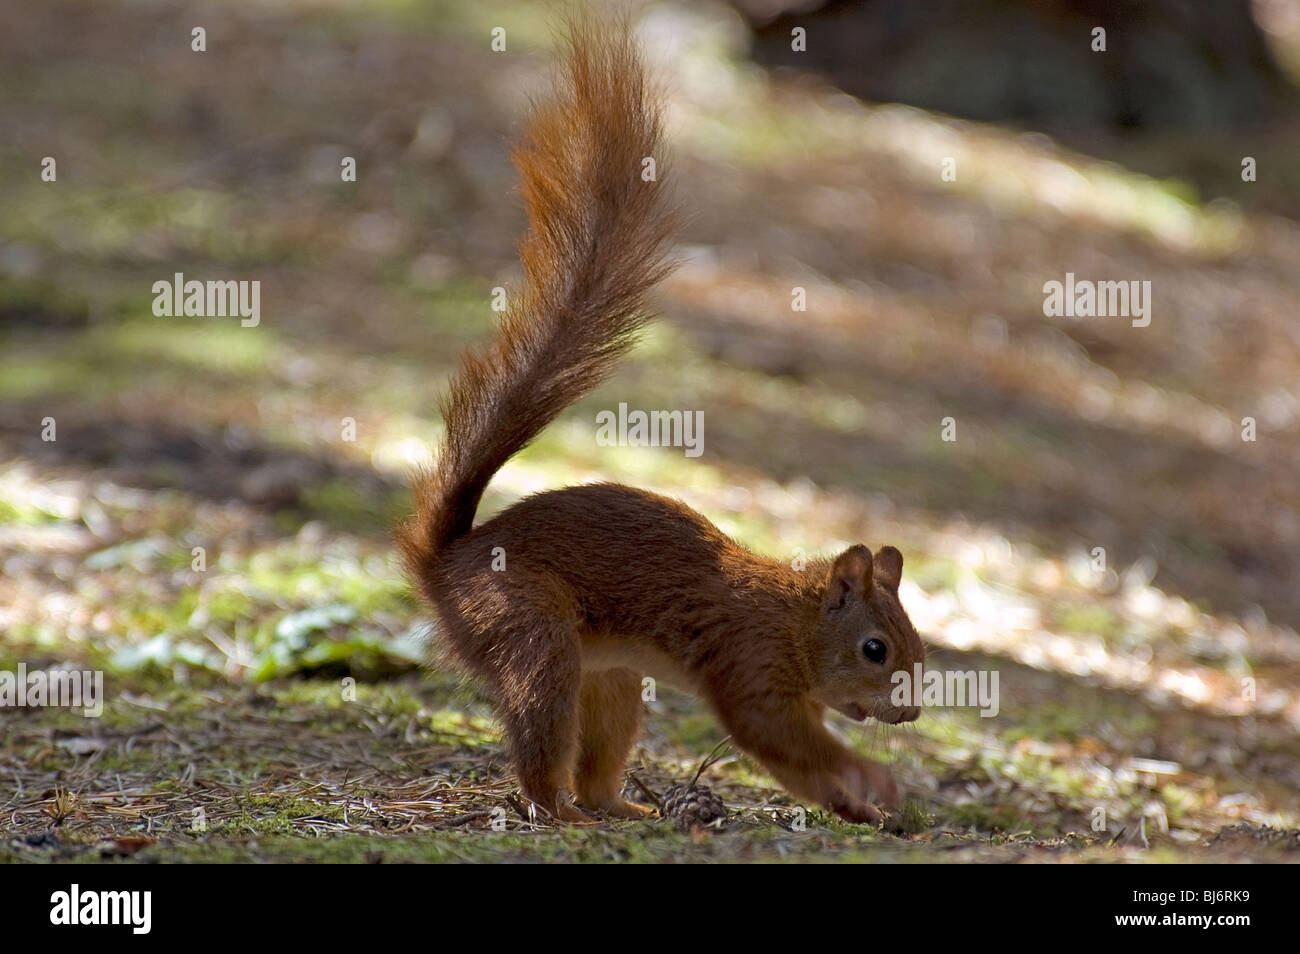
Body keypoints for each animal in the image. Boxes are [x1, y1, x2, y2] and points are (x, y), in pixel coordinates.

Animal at [395, 11, 925, 826]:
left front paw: (859, 808)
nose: (911, 714)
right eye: (876, 649)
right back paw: (559, 811)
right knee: (541, 740)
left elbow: (796, 767)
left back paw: (621, 807)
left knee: (598, 758)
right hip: (532, 635)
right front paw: (871, 778)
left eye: (916, 645)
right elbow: (775, 737)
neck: (798, 619)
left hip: (610, 681)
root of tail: (445, 565)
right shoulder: (750, 663)